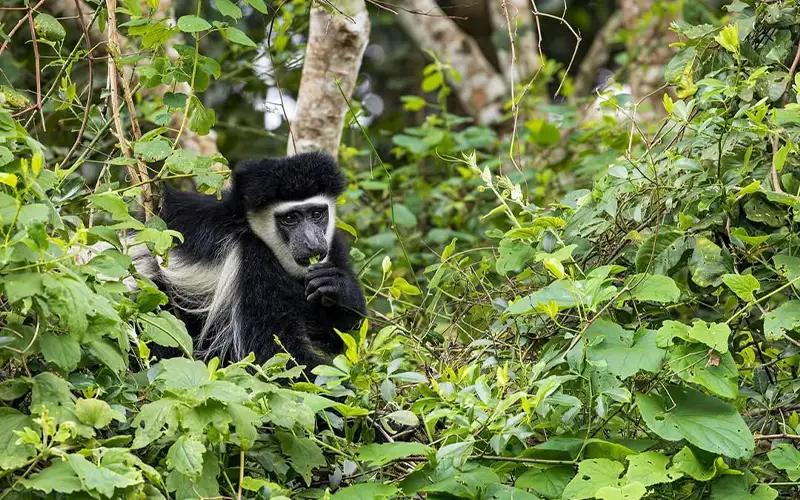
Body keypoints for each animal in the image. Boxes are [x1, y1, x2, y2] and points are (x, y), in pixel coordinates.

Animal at [134, 152, 367, 369]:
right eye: (290, 219)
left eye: (317, 214)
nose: (312, 243)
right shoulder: (249, 262)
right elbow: (272, 352)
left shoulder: (333, 245)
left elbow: (337, 334)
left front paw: (336, 287)